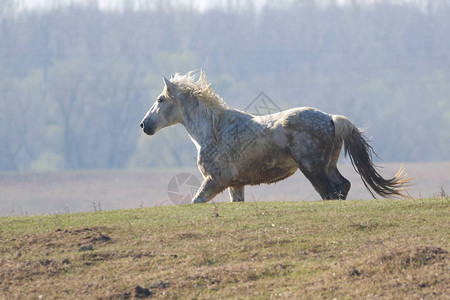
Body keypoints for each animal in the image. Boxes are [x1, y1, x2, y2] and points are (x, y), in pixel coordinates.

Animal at [141, 71, 412, 204]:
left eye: (160, 100)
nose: (144, 125)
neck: (214, 130)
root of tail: (332, 118)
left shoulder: (214, 181)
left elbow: (196, 201)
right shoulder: (235, 184)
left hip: (312, 169)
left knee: (330, 192)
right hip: (328, 166)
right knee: (342, 186)